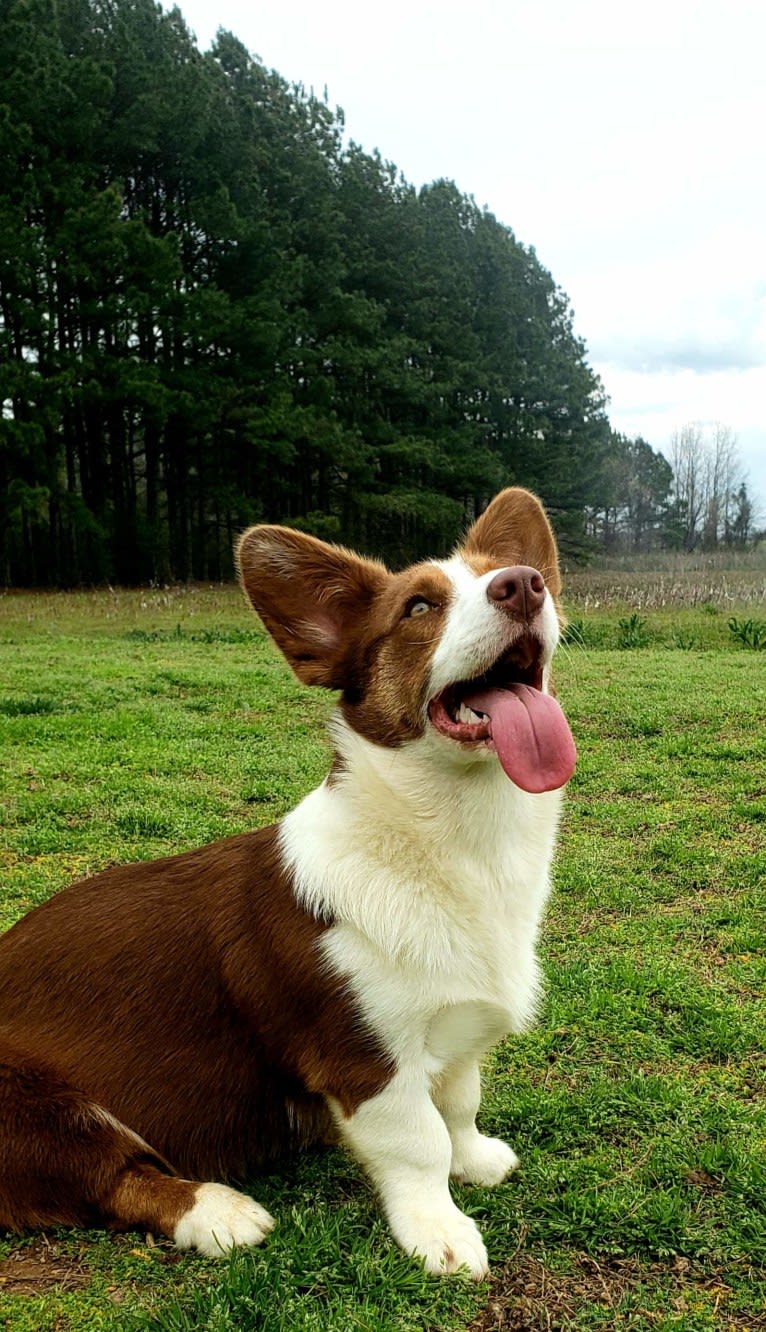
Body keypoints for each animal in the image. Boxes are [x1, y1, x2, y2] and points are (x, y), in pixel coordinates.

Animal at [0, 484, 575, 1273]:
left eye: (514, 574)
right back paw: (219, 1212)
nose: (524, 584)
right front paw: (441, 1233)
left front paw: (477, 1160)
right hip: (40, 1106)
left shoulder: (455, 1029)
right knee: (113, 1176)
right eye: (418, 607)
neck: (459, 843)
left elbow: (459, 1104)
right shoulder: (367, 1060)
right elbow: (419, 1143)